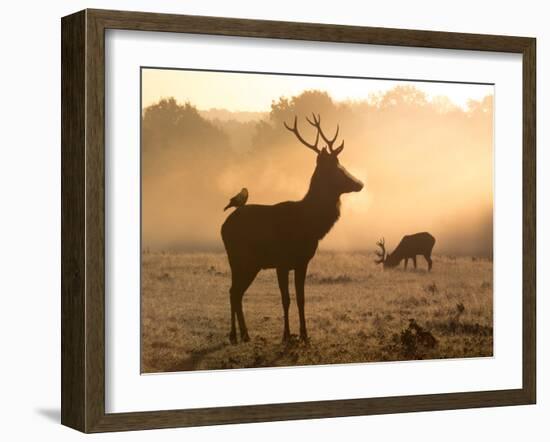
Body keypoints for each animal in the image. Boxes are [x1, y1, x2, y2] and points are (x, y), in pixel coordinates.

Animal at [222, 112, 364, 344]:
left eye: (341, 165)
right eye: (336, 169)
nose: (360, 183)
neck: (309, 224)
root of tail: (223, 226)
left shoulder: (302, 262)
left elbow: (301, 298)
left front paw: (305, 336)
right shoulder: (281, 262)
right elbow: (286, 299)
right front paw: (286, 335)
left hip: (250, 263)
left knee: (236, 291)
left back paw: (244, 334)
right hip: (239, 258)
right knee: (233, 291)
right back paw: (235, 335)